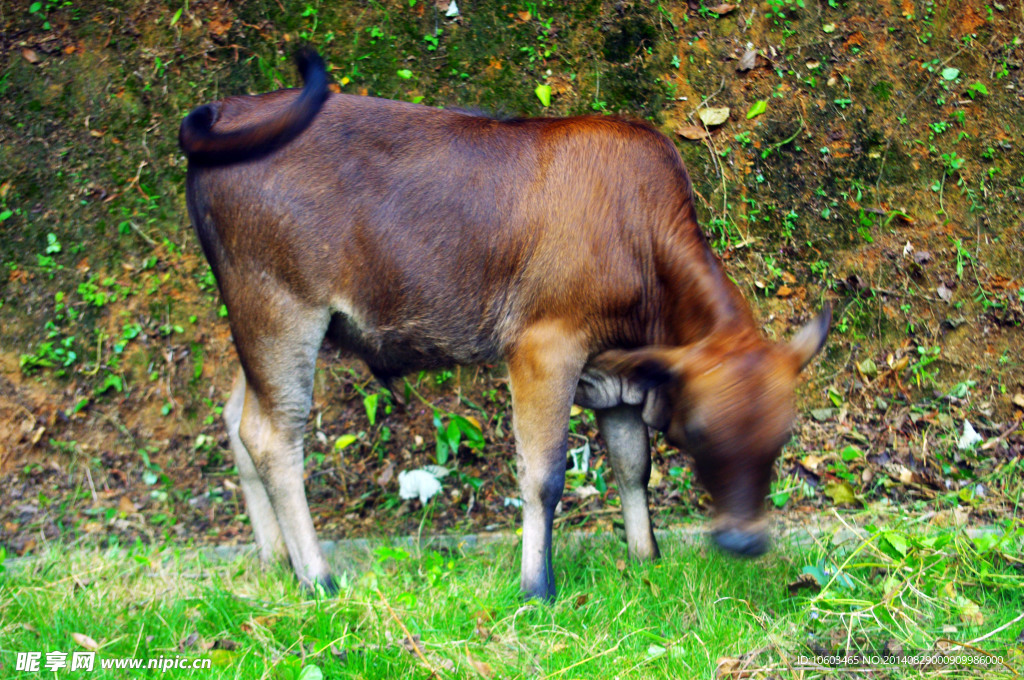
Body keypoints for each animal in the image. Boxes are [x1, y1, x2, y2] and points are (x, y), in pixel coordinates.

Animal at [180, 49, 827, 602]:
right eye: (702, 432)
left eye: (782, 437)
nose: (743, 541)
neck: (640, 239)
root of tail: (233, 107)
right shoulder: (544, 348)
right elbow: (544, 477)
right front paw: (537, 588)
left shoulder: (619, 376)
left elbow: (632, 467)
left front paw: (646, 561)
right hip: (280, 310)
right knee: (273, 437)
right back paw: (316, 578)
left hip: (251, 322)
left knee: (237, 420)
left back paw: (276, 561)